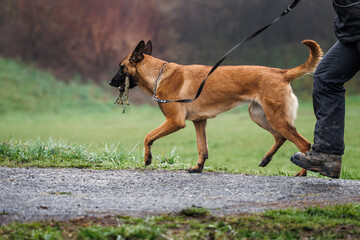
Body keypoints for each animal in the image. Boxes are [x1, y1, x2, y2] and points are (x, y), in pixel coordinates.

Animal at [109, 39, 324, 176]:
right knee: (280, 137)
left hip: (275, 118)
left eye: (121, 67)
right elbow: (202, 148)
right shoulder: (199, 122)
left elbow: (148, 136)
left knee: (303, 144)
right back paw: (266, 159)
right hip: (260, 116)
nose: (110, 82)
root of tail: (281, 73)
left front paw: (147, 158)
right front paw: (198, 168)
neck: (159, 74)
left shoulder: (174, 122)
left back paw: (303, 172)